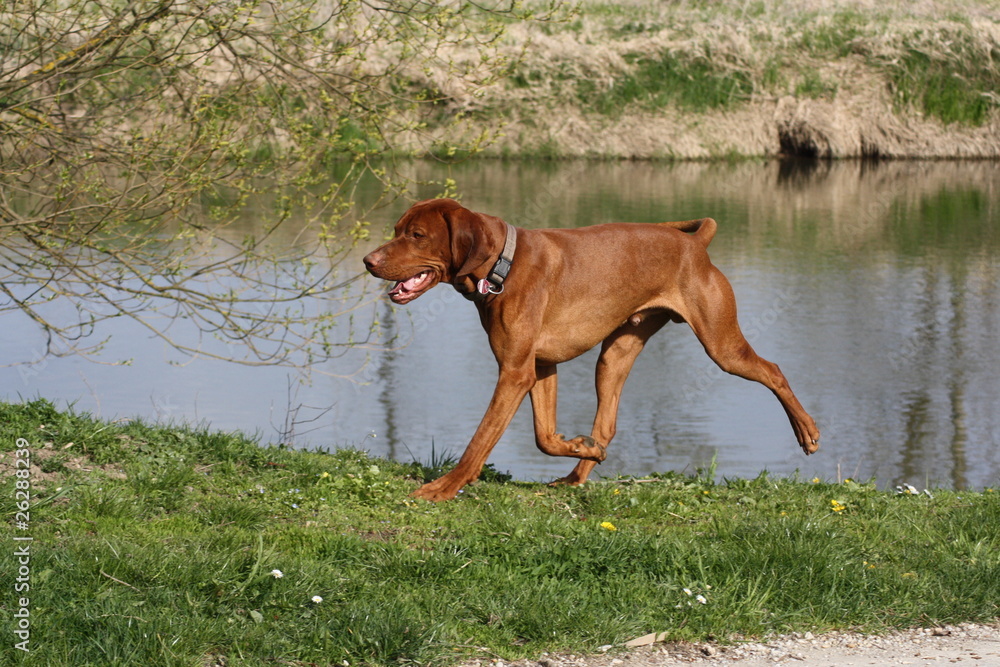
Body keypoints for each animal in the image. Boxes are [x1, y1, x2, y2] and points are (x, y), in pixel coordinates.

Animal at [364, 198, 816, 500]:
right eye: (397, 229)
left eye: (417, 235)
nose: (368, 260)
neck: (502, 266)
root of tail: (695, 245)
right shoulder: (539, 367)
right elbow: (544, 437)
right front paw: (581, 446)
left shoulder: (516, 372)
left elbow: (481, 439)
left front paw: (444, 487)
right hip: (614, 356)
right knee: (607, 424)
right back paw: (578, 473)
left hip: (722, 347)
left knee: (774, 370)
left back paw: (808, 432)